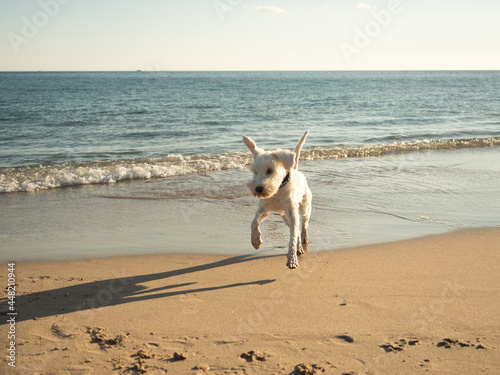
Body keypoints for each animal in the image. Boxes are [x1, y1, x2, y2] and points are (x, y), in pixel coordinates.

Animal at [243, 131, 312, 268]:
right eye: (255, 172)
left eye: (270, 170)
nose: (258, 189)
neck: (278, 191)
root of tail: (296, 169)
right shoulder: (264, 209)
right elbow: (254, 222)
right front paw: (256, 240)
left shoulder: (292, 212)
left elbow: (292, 236)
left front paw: (292, 259)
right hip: (285, 217)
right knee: (296, 230)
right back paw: (299, 246)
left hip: (305, 207)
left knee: (303, 225)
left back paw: (304, 240)